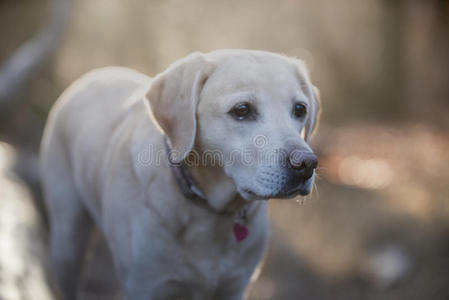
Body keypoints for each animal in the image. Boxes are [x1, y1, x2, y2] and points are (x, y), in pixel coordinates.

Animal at [39, 50, 318, 298]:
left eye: (300, 109)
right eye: (242, 110)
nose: (307, 164)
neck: (210, 213)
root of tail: (93, 75)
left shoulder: (233, 288)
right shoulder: (147, 287)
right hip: (68, 241)